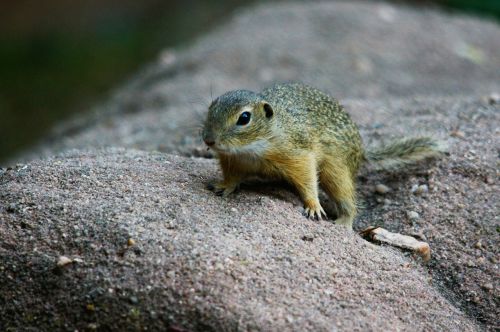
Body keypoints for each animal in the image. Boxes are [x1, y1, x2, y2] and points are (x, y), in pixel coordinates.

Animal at [201, 83, 444, 228]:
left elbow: (308, 180)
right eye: (211, 107)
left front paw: (313, 206)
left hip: (336, 170)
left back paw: (343, 223)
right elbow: (232, 177)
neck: (252, 149)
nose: (208, 140)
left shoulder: (299, 155)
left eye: (244, 118)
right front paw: (224, 186)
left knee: (347, 198)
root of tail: (362, 151)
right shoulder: (232, 161)